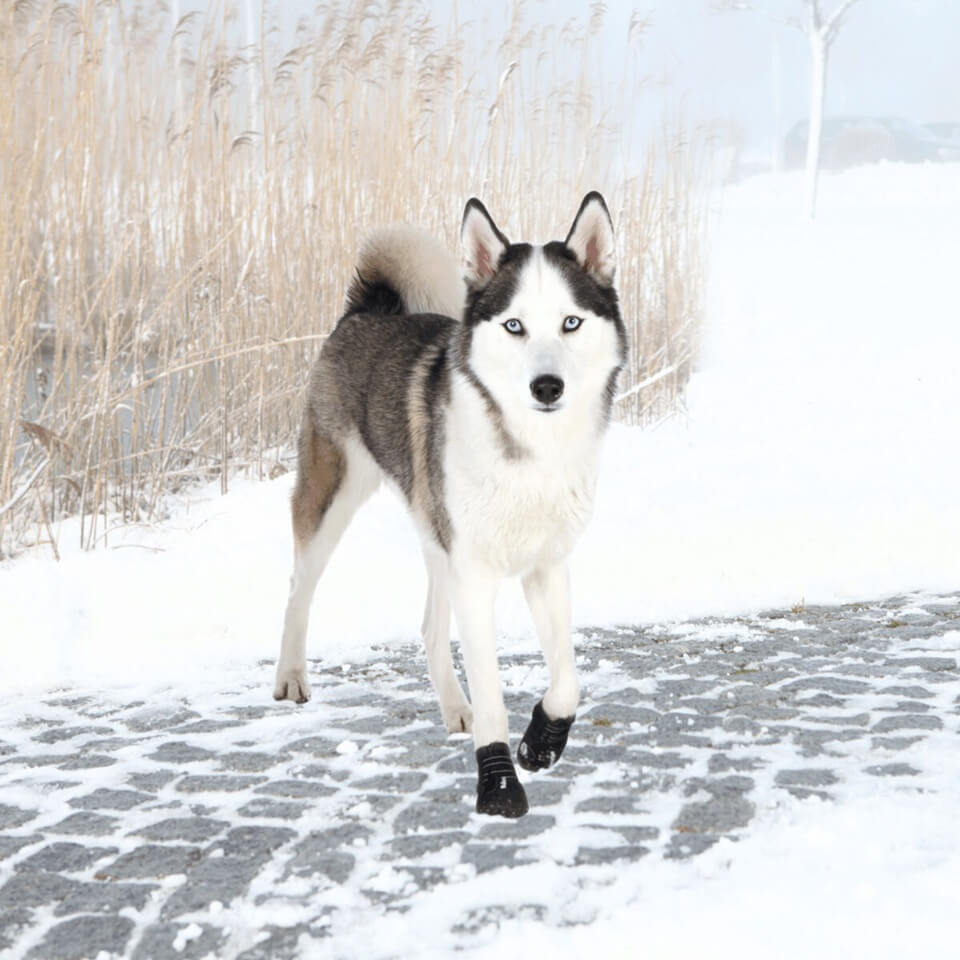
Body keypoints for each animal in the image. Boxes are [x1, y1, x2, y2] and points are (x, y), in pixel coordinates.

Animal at [274, 193, 628, 816]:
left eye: (571, 322)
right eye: (514, 325)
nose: (547, 387)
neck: (531, 453)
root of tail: (366, 310)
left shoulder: (545, 568)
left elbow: (567, 680)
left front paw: (542, 740)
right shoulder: (476, 578)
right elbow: (492, 693)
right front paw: (498, 783)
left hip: (437, 538)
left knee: (429, 628)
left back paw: (454, 707)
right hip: (332, 497)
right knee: (299, 588)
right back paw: (291, 675)